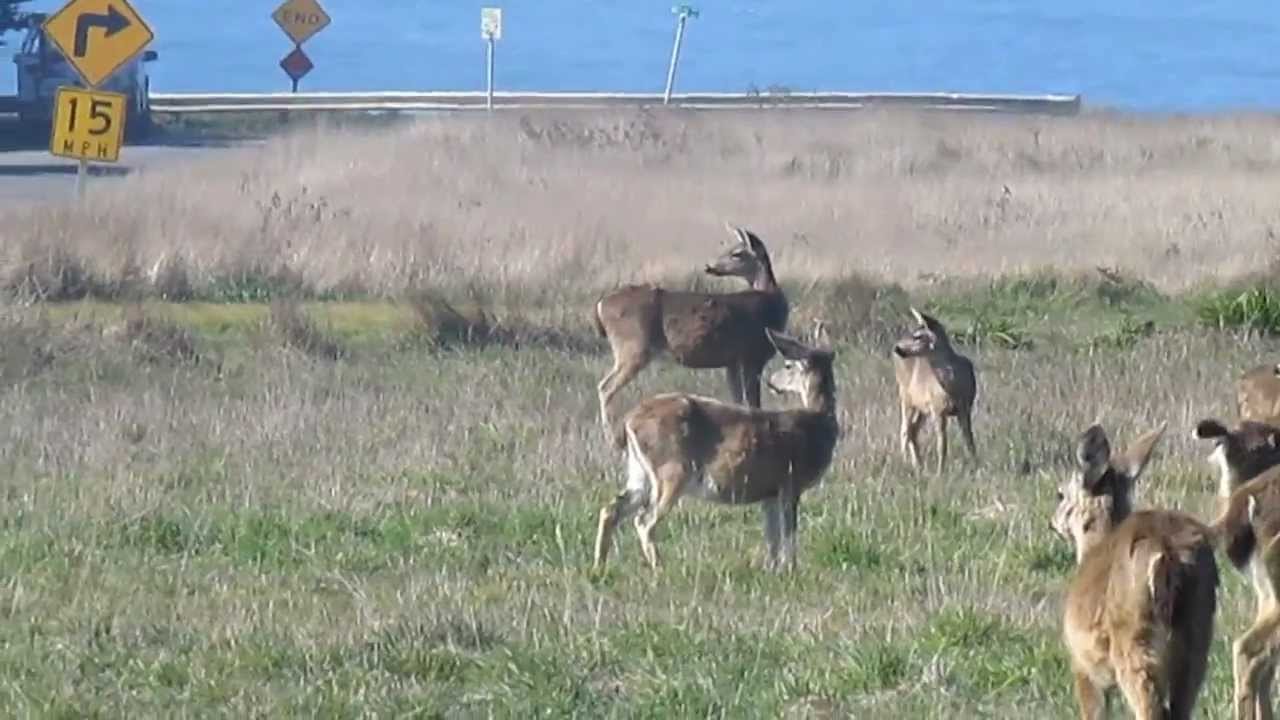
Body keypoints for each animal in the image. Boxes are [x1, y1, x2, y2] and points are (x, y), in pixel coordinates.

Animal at [592, 324, 837, 574]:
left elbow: (773, 536)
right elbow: (789, 535)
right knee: (644, 520)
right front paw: (790, 571)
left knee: (611, 510)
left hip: (639, 473)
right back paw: (659, 569)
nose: (771, 381)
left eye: (787, 366)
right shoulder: (790, 482)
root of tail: (629, 421)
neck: (819, 424)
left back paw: (598, 567)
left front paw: (772, 569)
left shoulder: (770, 491)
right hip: (672, 469)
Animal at [593, 224, 788, 443]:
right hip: (633, 347)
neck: (771, 302)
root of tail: (601, 305)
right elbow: (753, 403)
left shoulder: (733, 362)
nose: (709, 266)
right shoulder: (753, 356)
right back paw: (611, 438)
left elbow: (739, 401)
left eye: (736, 253)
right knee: (605, 387)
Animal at [892, 308, 977, 472]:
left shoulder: (965, 408)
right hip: (906, 397)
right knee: (905, 430)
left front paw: (975, 466)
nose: (897, 348)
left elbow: (969, 441)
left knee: (912, 430)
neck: (952, 385)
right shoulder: (938, 409)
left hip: (921, 407)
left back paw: (918, 465)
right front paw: (940, 472)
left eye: (918, 336)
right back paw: (907, 464)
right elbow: (942, 445)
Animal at [1051, 423, 1218, 720]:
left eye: (1060, 493)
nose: (1052, 522)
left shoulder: (1083, 664)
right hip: (1198, 637)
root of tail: (1168, 554)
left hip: (1134, 641)